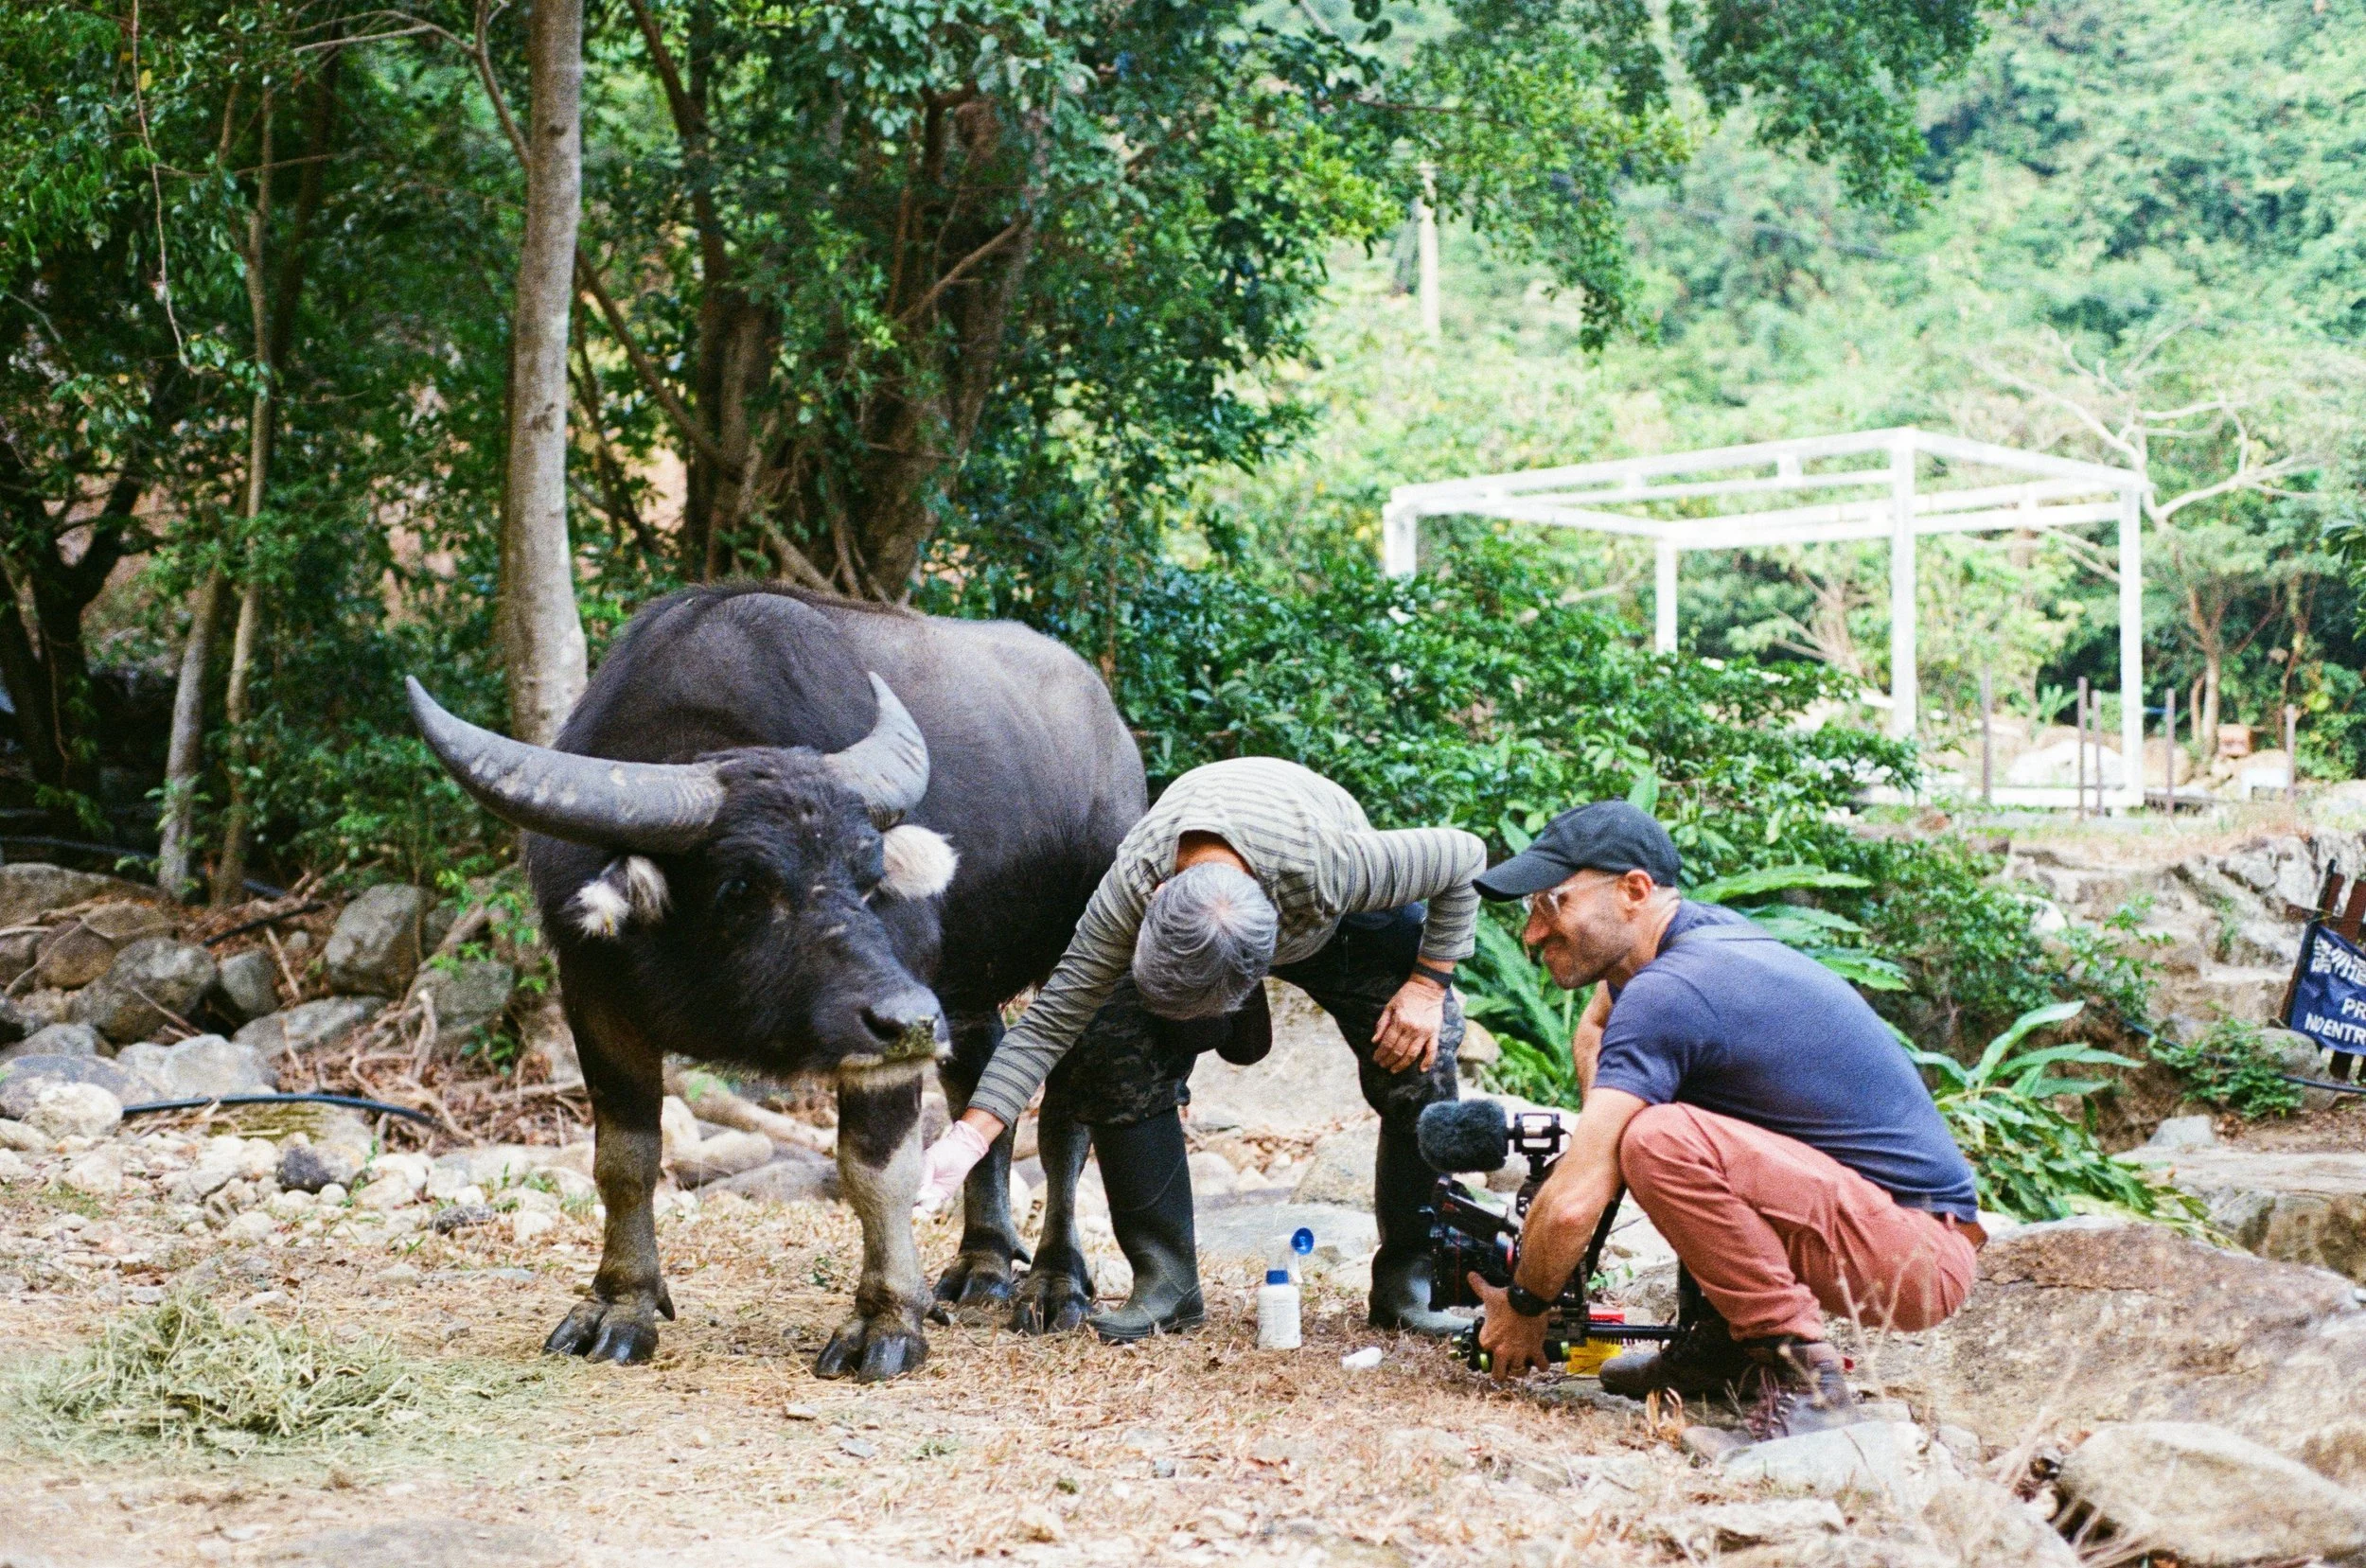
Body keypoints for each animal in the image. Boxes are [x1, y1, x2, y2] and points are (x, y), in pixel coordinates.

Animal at [408, 585, 1145, 1378]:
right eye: (742, 885)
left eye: (869, 876)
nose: (911, 1019)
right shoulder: (595, 1000)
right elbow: (625, 1159)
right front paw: (619, 1305)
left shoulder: (887, 1029)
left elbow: (876, 1169)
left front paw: (886, 1320)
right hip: (967, 994)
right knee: (980, 1082)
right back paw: (981, 1266)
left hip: (1082, 957)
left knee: (1067, 1118)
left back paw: (1055, 1282)